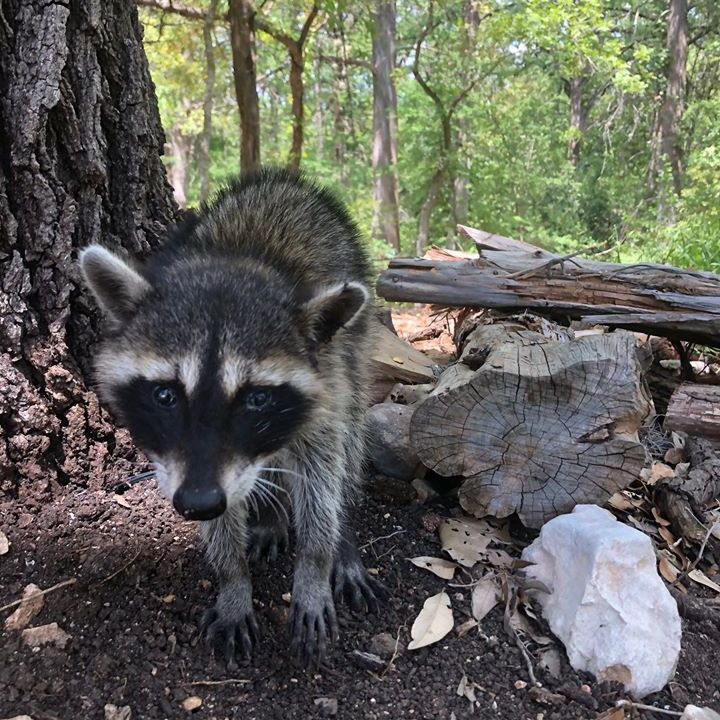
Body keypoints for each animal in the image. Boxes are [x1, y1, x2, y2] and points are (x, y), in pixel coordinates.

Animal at [80, 168, 385, 667]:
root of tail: (285, 181)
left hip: (352, 347)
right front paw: (232, 578)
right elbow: (222, 510)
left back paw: (340, 538)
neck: (242, 262)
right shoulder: (188, 468)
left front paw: (316, 563)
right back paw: (269, 513)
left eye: (257, 399)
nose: (198, 504)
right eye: (165, 395)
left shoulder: (324, 386)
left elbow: (321, 473)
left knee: (351, 436)